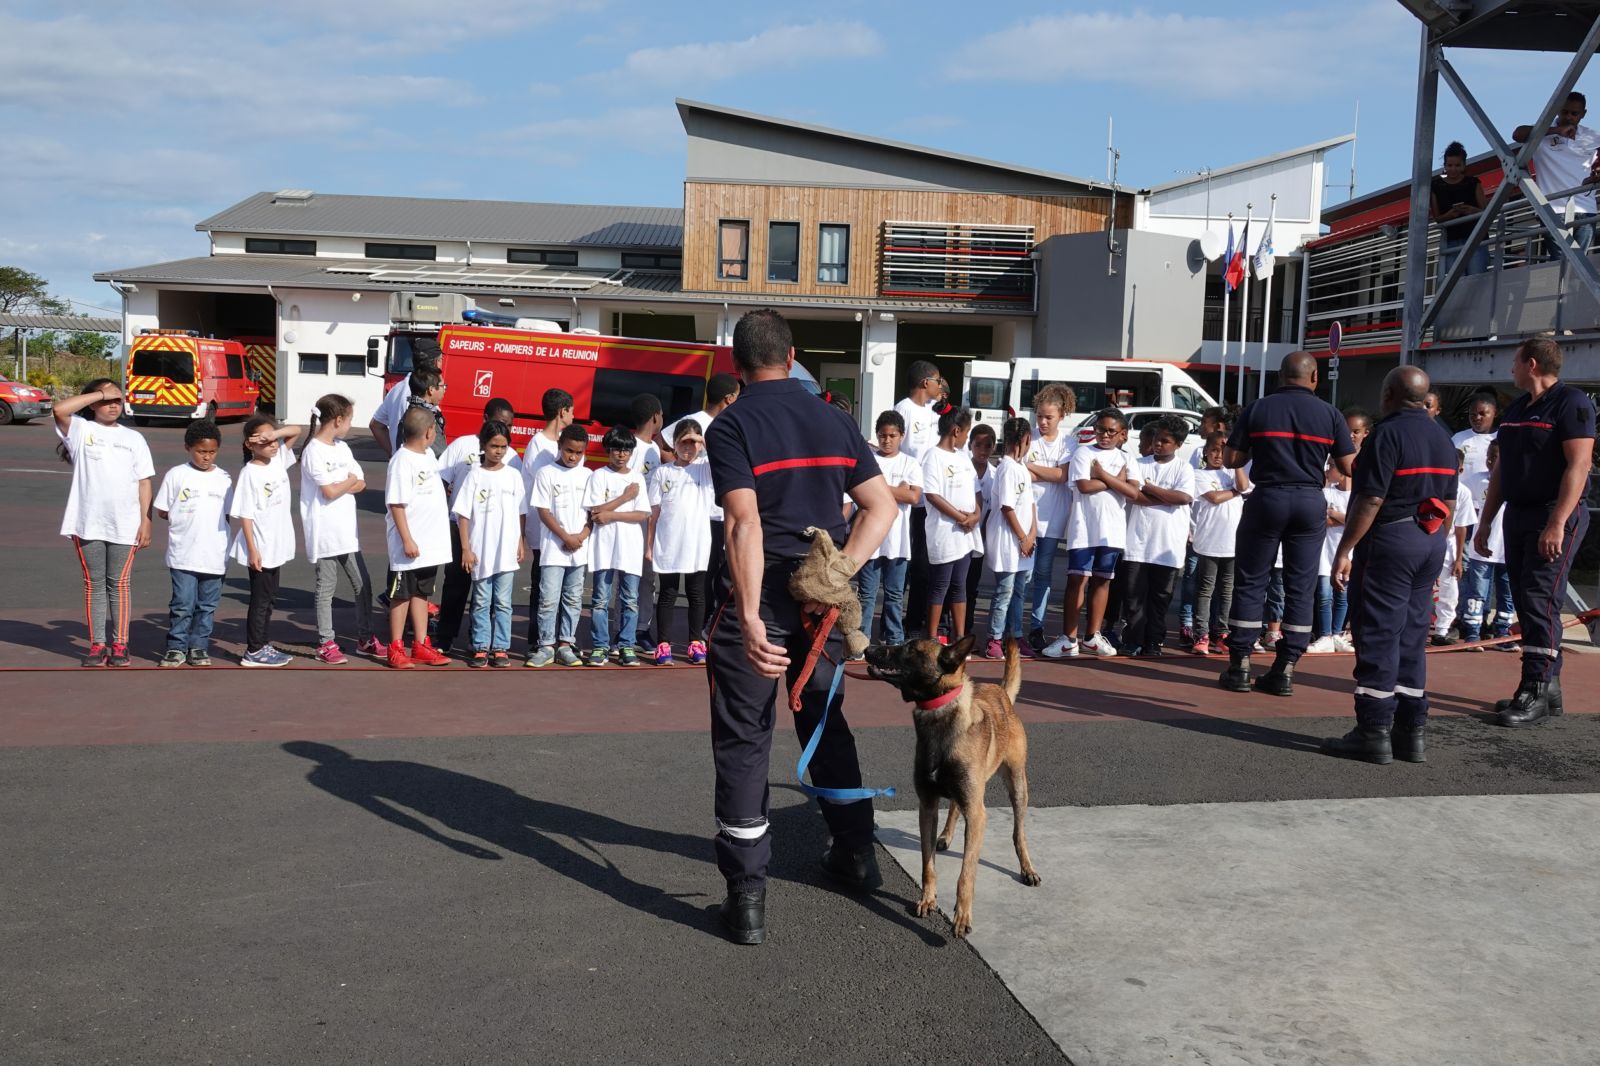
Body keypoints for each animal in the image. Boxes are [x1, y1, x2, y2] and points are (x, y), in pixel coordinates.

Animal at [870, 630, 1043, 928]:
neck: (938, 715)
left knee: (1018, 833)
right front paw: (928, 899)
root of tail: (1001, 692)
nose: (868, 649)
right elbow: (927, 864)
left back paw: (1027, 868)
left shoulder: (977, 813)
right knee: (953, 806)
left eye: (911, 649)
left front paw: (962, 916)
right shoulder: (927, 806)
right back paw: (946, 836)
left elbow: (966, 873)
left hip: (1017, 786)